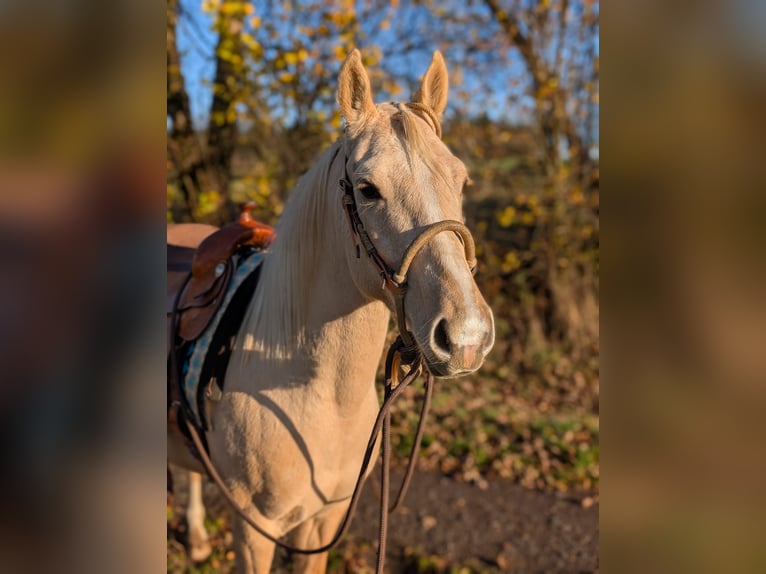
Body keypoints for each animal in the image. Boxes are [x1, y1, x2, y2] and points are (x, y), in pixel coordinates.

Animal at [168, 49, 495, 573]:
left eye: (461, 181)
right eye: (367, 189)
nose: (465, 336)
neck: (312, 391)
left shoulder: (321, 524)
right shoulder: (254, 531)